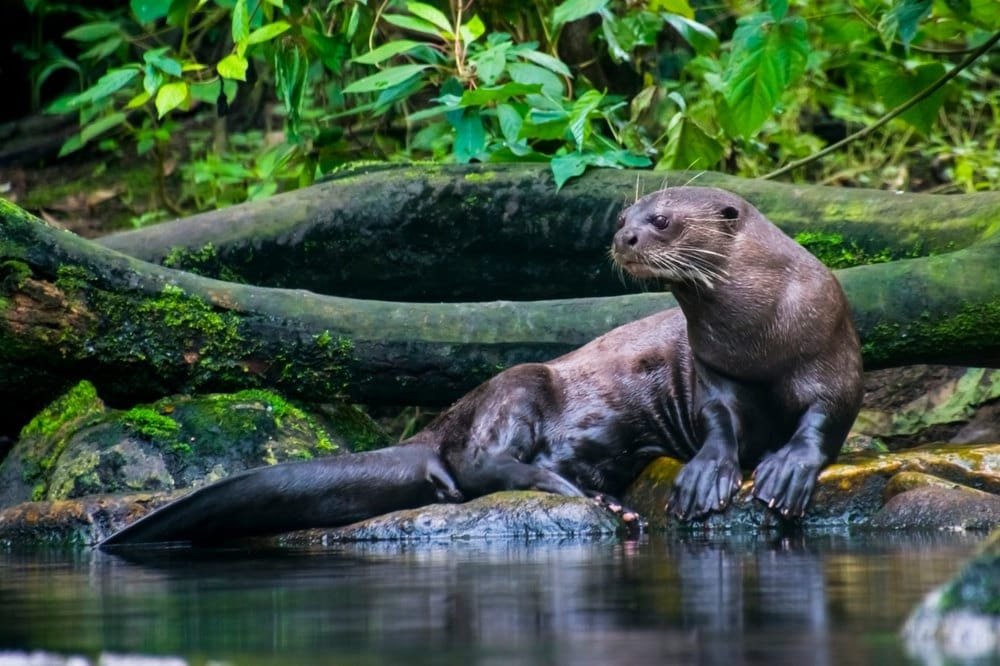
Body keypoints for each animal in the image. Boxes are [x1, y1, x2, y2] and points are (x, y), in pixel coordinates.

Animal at [100, 187, 862, 546]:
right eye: (623, 216)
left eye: (664, 220)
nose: (624, 237)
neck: (757, 333)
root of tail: (430, 429)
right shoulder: (713, 372)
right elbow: (719, 425)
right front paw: (709, 477)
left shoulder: (833, 345)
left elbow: (825, 418)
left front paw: (787, 470)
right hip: (519, 383)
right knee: (484, 464)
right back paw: (586, 497)